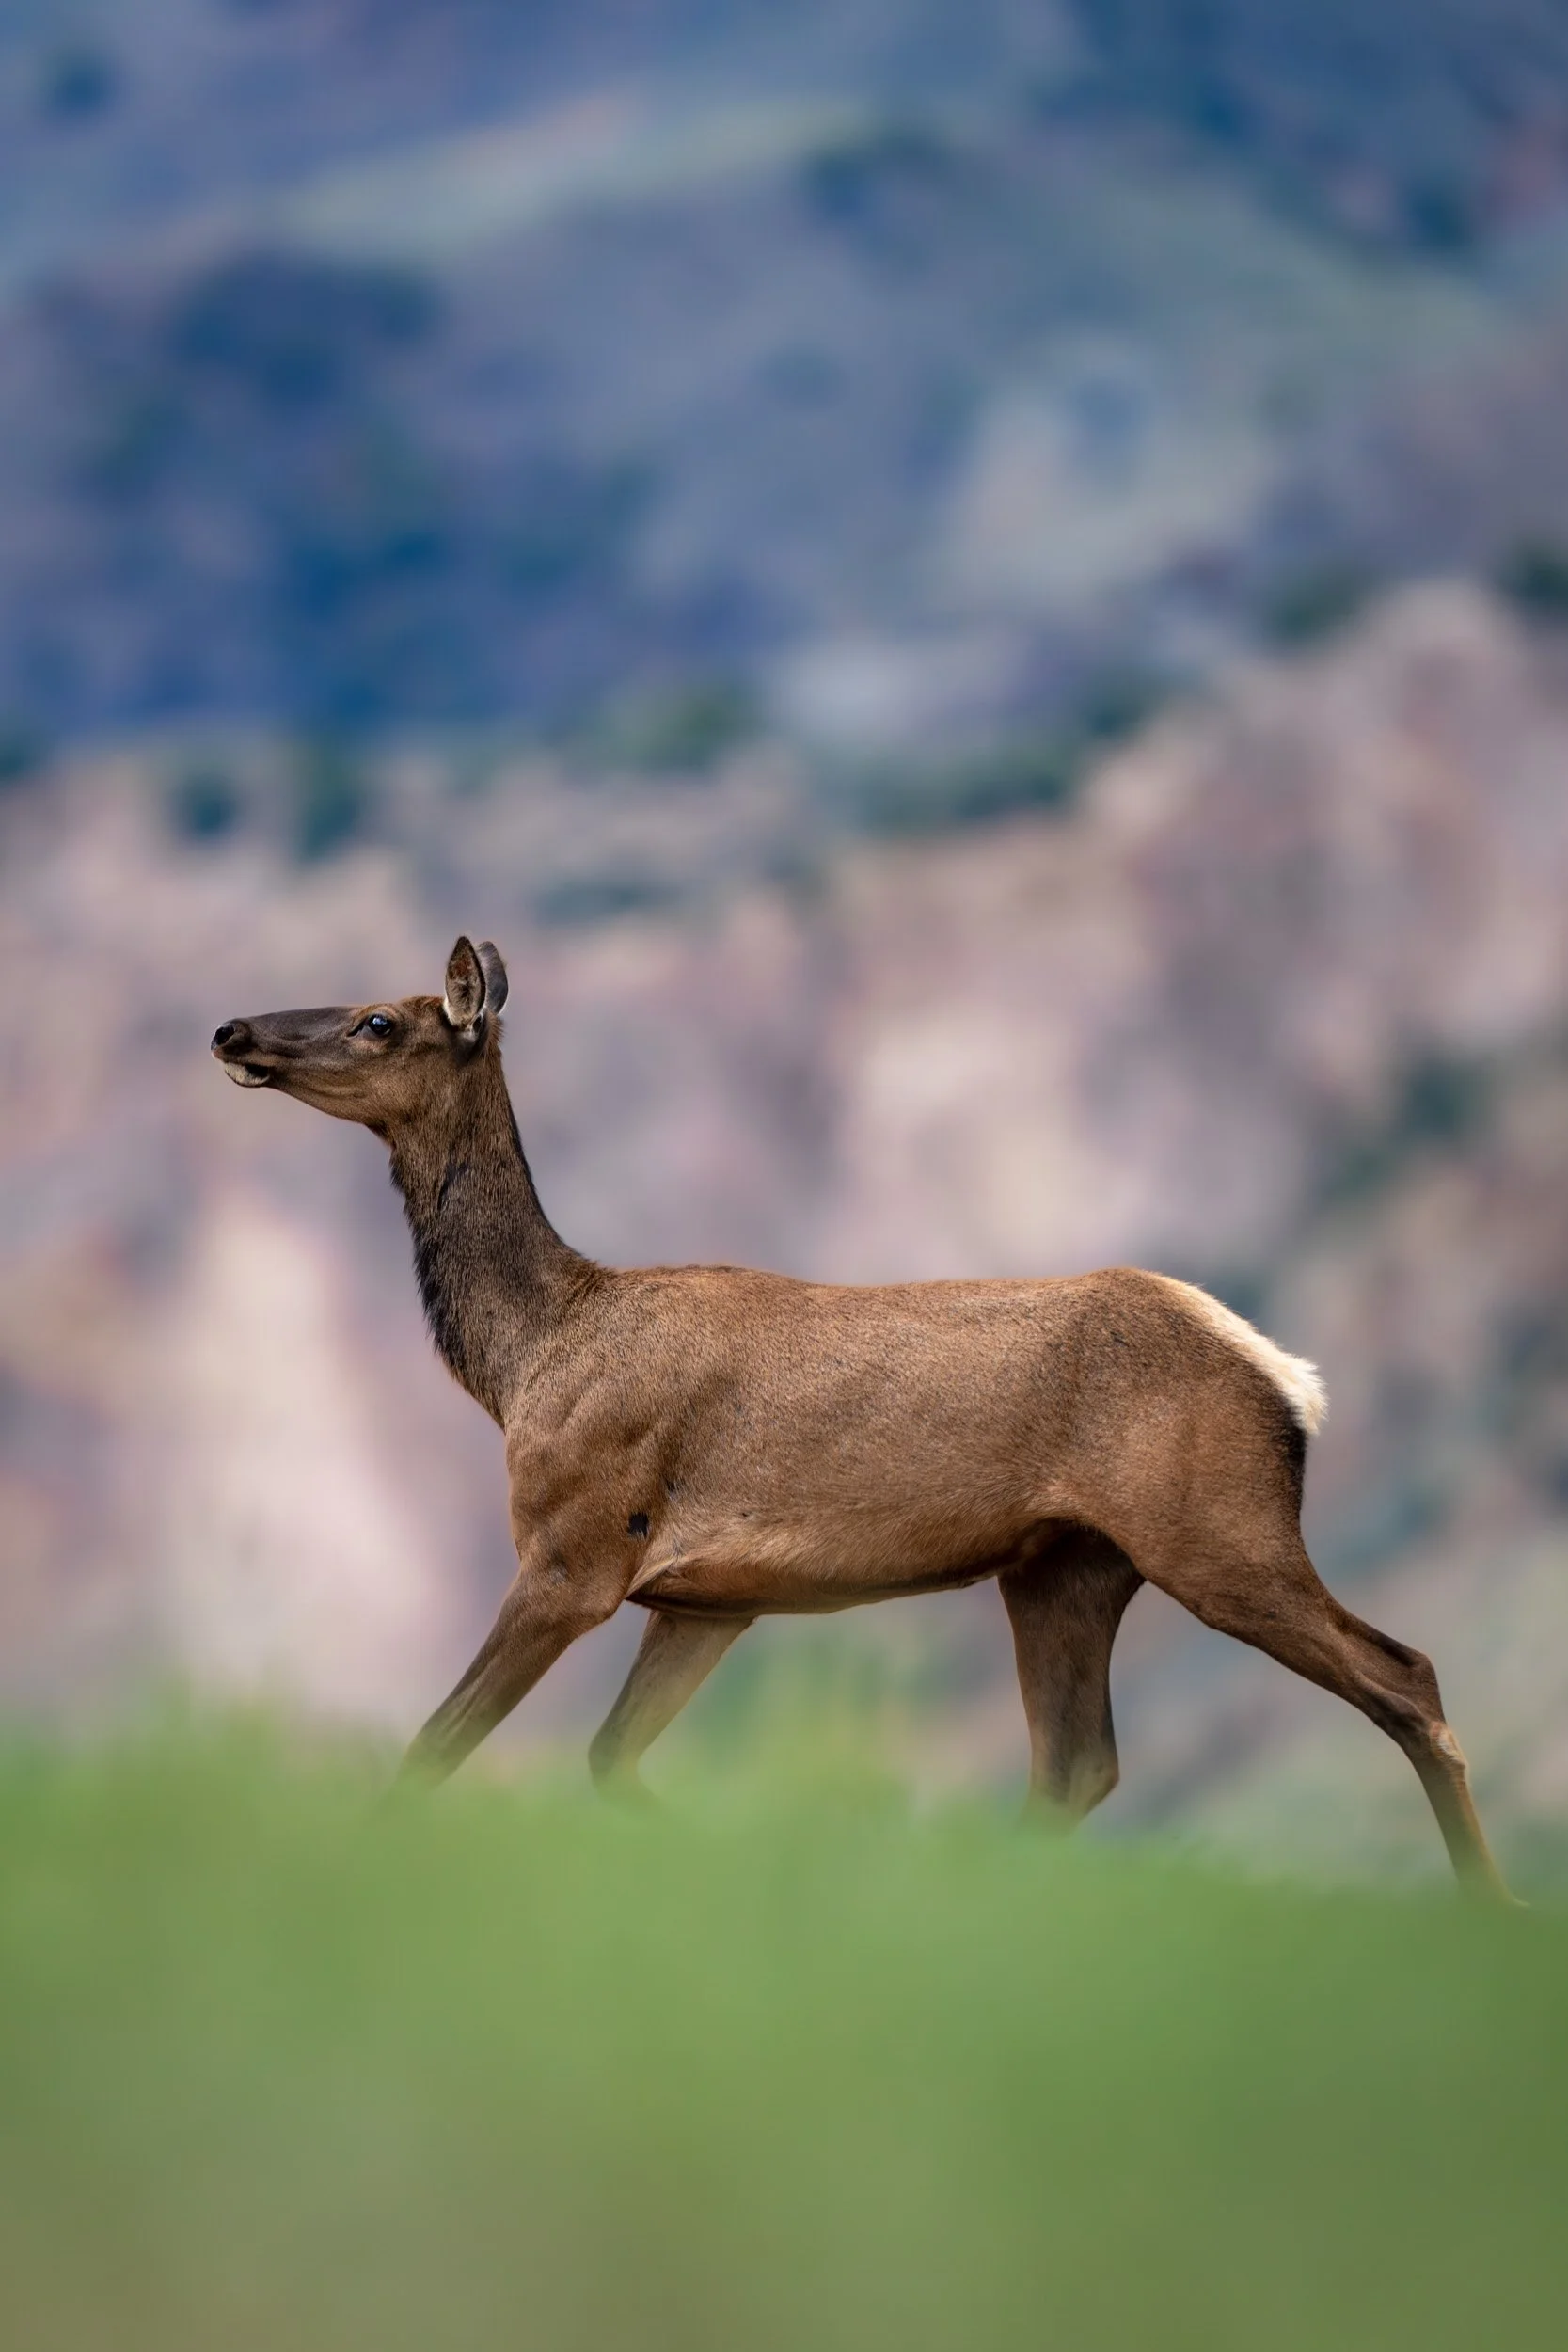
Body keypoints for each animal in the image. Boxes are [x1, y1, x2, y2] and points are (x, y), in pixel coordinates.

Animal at [211, 936, 1512, 1897]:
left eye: (381, 1020)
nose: (232, 1030)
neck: (528, 1356)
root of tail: (1288, 1380)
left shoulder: (573, 1545)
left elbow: (432, 1748)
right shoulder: (703, 1599)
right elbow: (607, 1760)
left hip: (1216, 1523)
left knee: (1405, 1673)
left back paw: (1486, 1903)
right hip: (1063, 1565)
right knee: (1077, 1764)